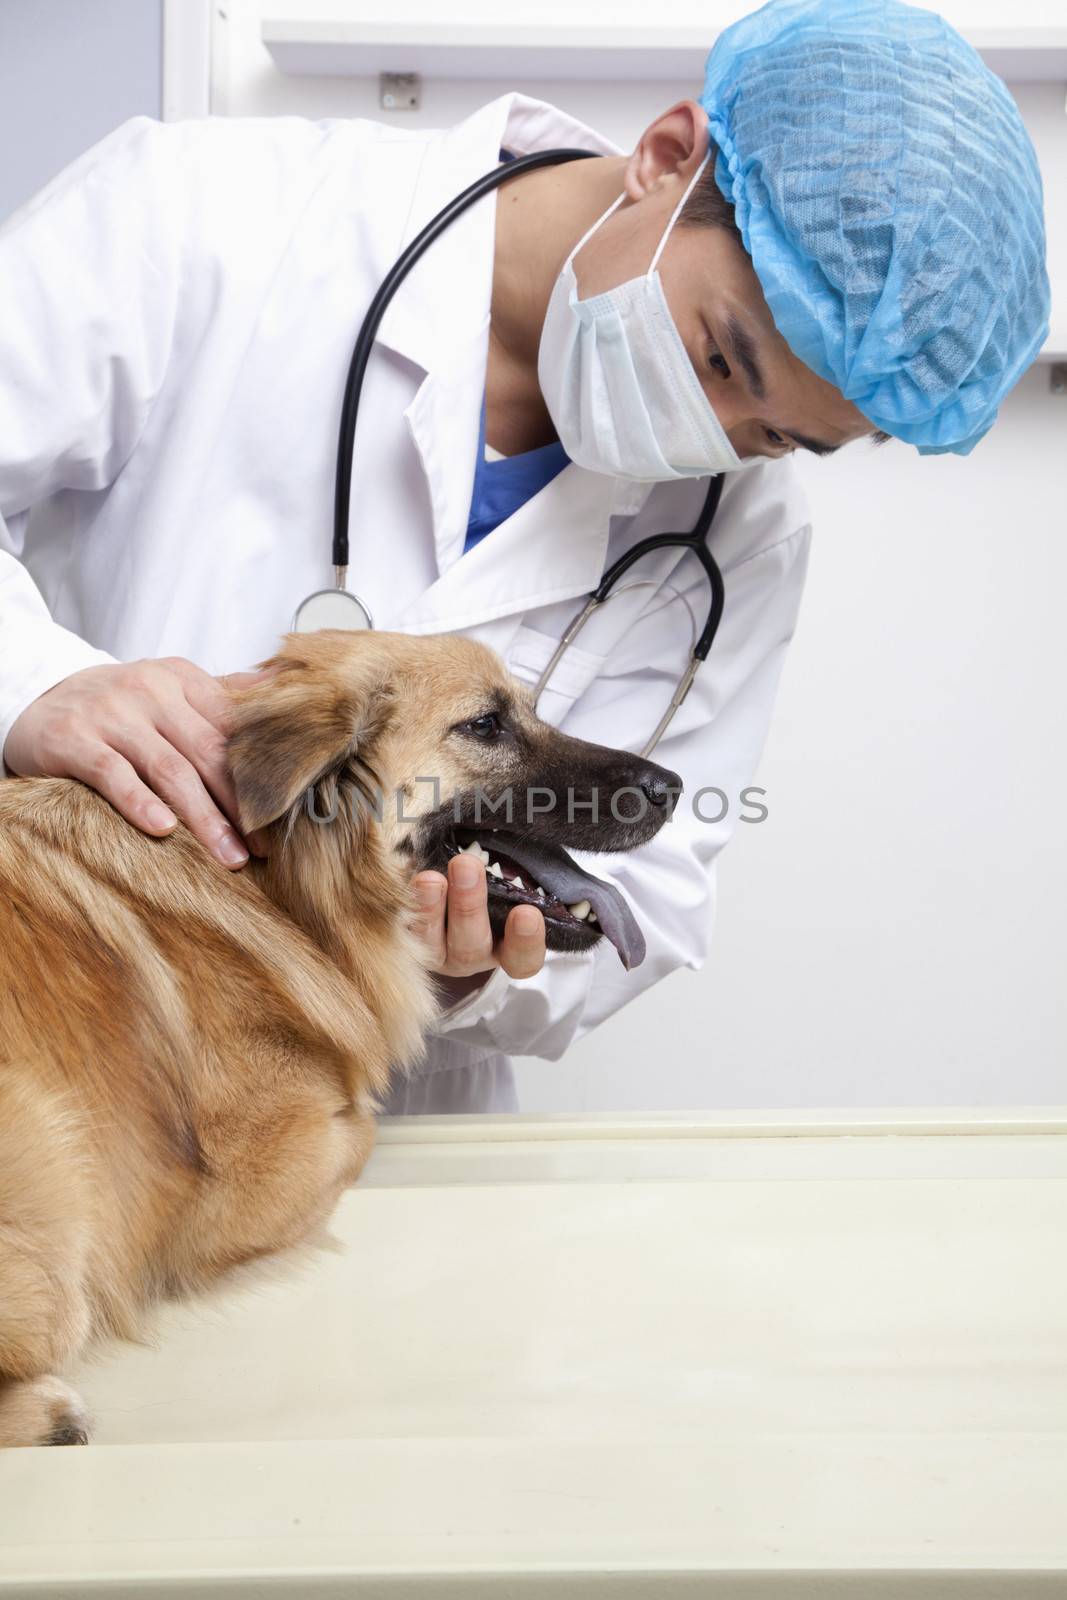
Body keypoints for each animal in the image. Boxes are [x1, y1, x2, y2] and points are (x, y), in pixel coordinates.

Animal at [0, 627, 681, 1452]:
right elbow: (358, 1131)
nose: (676, 785)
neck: (279, 887)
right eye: (486, 725)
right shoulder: (233, 1189)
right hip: (54, 1181)